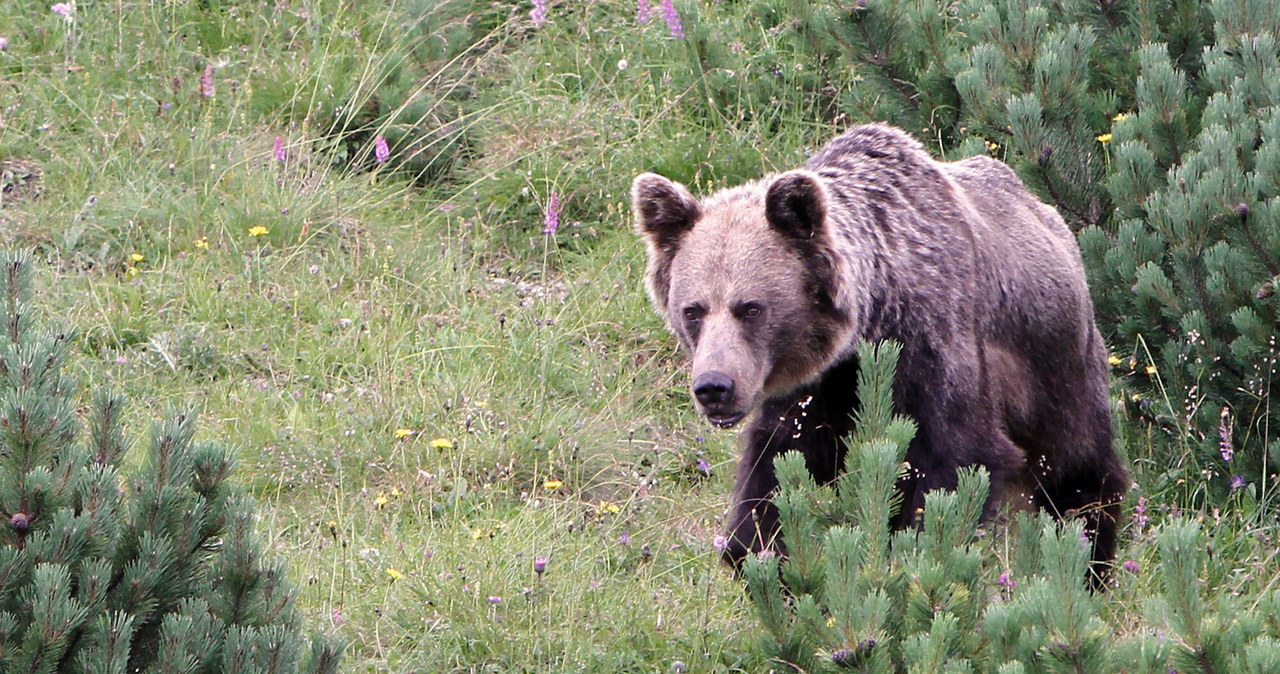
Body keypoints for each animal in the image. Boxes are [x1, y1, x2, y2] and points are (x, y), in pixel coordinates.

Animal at [634, 124, 1126, 583]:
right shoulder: (818, 386)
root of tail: (1050, 213)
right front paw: (756, 550)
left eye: (750, 308)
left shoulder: (932, 344)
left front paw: (916, 547)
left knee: (1078, 465)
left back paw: (1091, 558)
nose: (714, 387)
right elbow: (779, 462)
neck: (872, 315)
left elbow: (956, 458)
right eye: (693, 310)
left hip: (1056, 363)